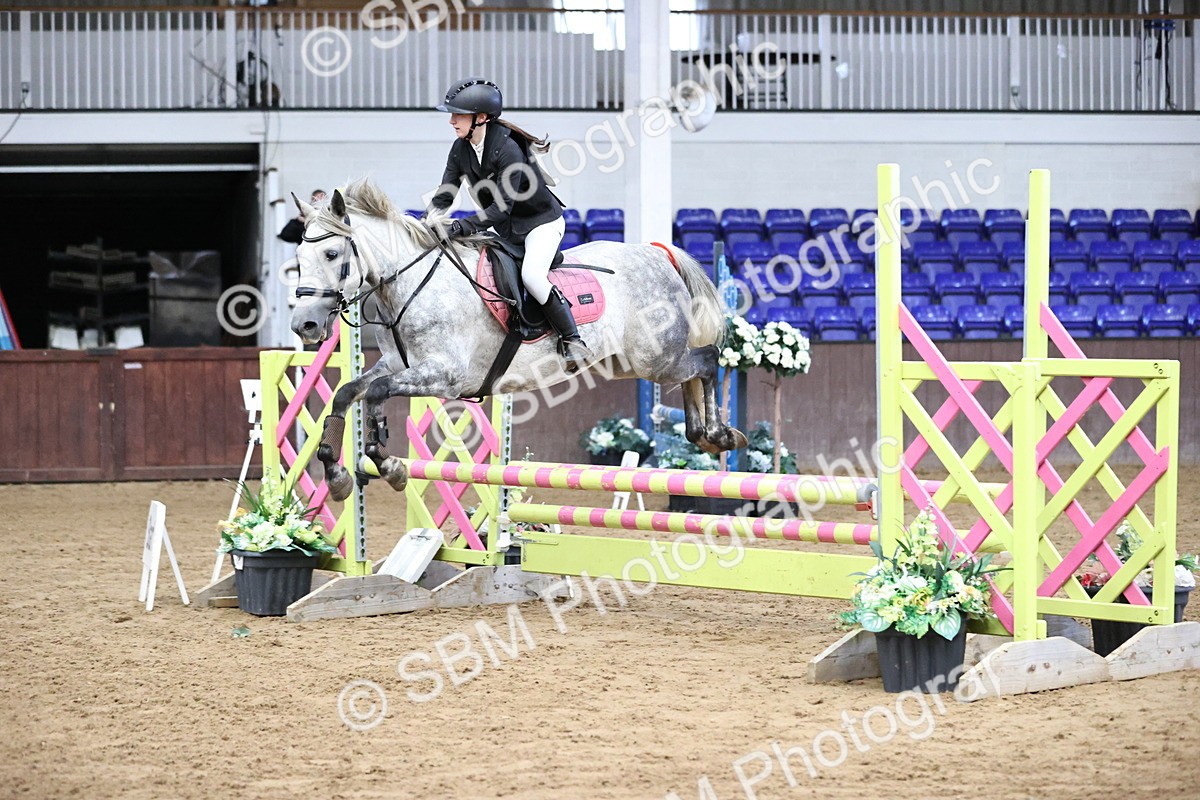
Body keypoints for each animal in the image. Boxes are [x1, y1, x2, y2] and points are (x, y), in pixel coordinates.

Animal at [289, 180, 747, 501]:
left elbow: (376, 395)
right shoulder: (397, 366)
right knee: (692, 371)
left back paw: (718, 434)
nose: (304, 326)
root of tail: (659, 253)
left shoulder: (446, 375)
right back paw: (702, 434)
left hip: (655, 357)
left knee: (707, 359)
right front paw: (338, 476)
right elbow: (348, 392)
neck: (410, 282)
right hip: (630, 363)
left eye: (332, 255)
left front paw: (390, 467)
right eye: (298, 258)